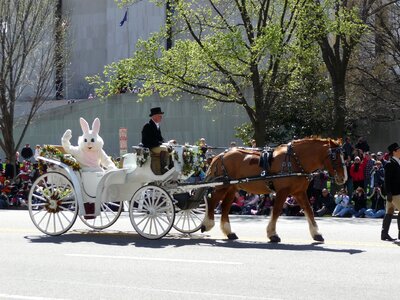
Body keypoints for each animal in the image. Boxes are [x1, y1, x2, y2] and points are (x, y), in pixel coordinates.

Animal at [199, 137, 346, 243]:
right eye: (334, 157)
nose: (344, 178)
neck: (294, 160)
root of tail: (220, 155)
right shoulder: (283, 191)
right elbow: (276, 211)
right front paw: (272, 234)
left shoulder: (299, 192)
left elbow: (309, 210)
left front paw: (316, 234)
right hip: (222, 186)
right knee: (212, 202)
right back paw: (207, 224)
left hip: (231, 187)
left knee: (224, 206)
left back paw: (229, 232)